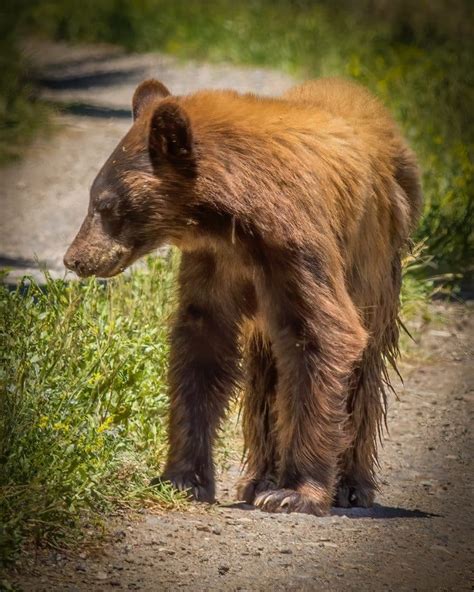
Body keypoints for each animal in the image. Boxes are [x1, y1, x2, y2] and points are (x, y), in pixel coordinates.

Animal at [64, 77, 422, 512]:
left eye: (105, 205)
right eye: (94, 200)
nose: (74, 258)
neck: (235, 216)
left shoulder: (297, 247)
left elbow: (324, 334)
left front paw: (294, 492)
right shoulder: (215, 261)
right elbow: (202, 346)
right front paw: (181, 478)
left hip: (376, 268)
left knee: (363, 371)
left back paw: (350, 485)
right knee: (265, 376)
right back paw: (257, 478)